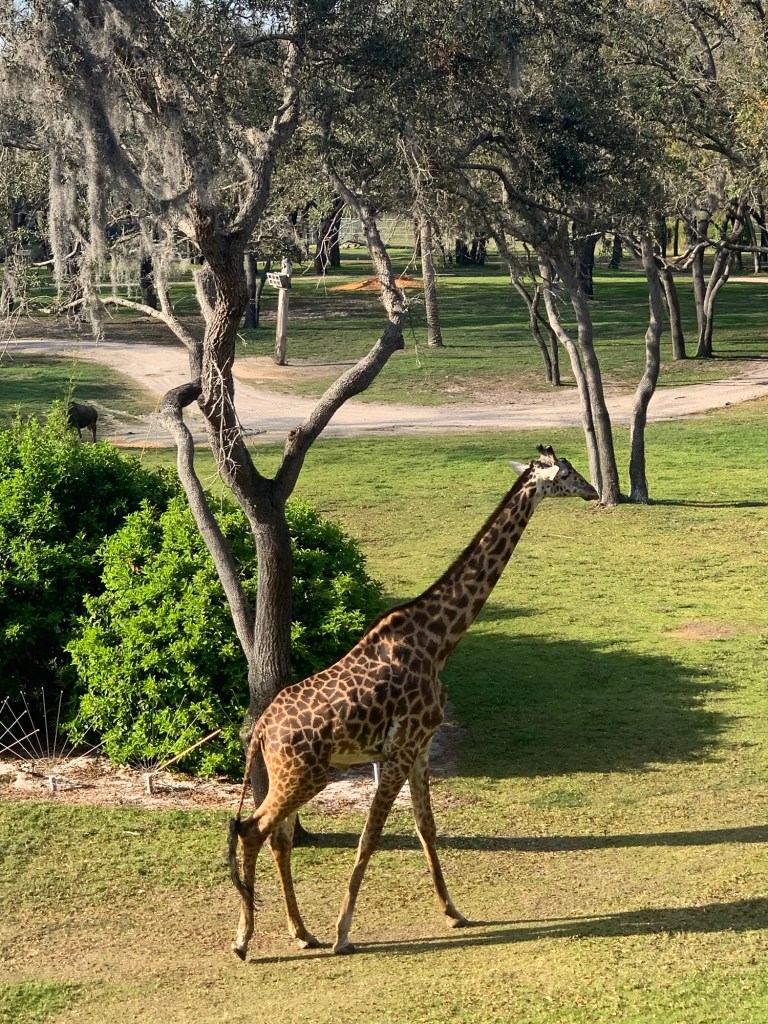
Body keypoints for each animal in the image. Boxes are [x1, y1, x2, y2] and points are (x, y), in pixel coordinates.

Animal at [228, 444, 599, 959]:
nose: (593, 490)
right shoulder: (401, 750)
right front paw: (345, 933)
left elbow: (426, 826)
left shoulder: (418, 748)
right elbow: (370, 838)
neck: (439, 640)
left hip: (291, 774)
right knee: (251, 830)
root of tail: (262, 729)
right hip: (306, 774)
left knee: (278, 837)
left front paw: (454, 912)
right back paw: (244, 940)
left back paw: (302, 932)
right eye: (566, 472)